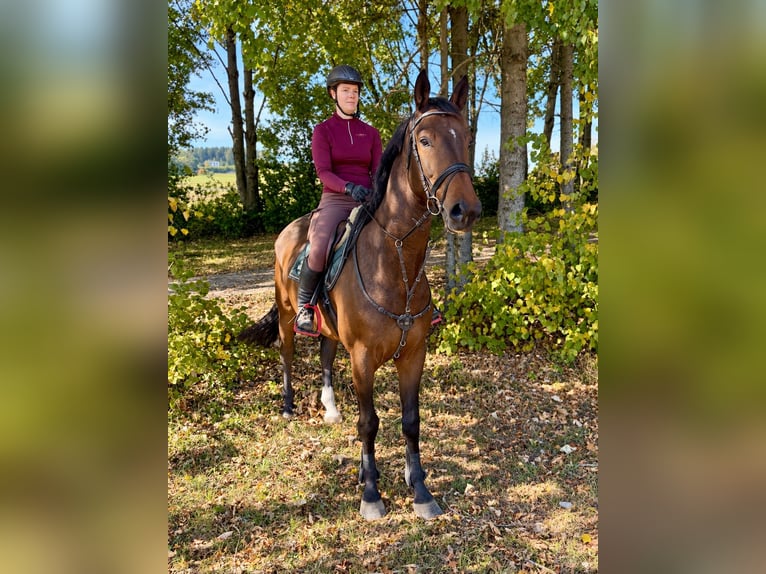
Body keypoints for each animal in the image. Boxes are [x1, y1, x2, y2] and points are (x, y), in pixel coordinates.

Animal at [239, 70, 481, 520]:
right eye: (425, 141)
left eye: (466, 137)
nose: (466, 211)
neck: (394, 260)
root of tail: (290, 229)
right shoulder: (364, 358)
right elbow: (369, 423)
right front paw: (370, 491)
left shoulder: (413, 354)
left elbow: (410, 421)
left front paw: (419, 489)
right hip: (286, 314)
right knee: (287, 354)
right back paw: (288, 406)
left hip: (332, 333)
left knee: (325, 356)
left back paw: (331, 407)